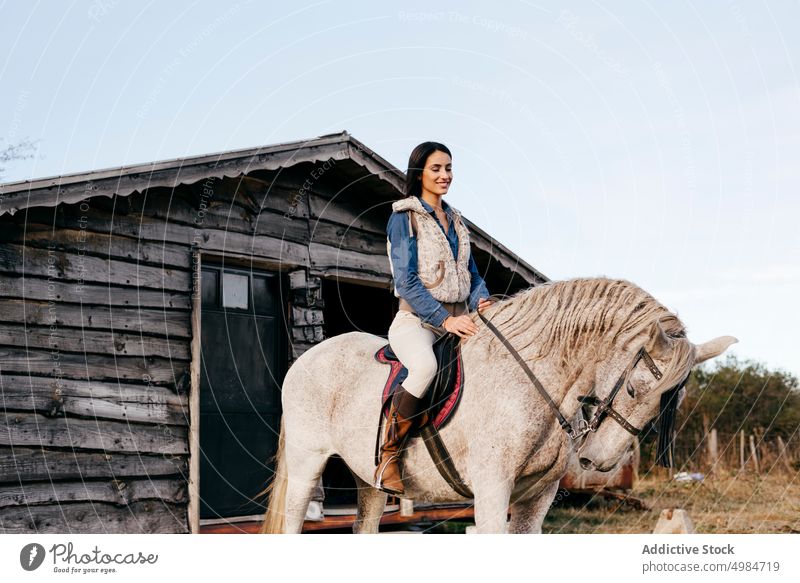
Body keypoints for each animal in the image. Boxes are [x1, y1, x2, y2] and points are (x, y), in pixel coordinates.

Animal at [260, 278, 736, 532]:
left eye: (665, 405)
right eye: (635, 390)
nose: (597, 461)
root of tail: (305, 359)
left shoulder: (535, 499)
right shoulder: (492, 492)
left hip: (370, 480)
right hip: (307, 463)